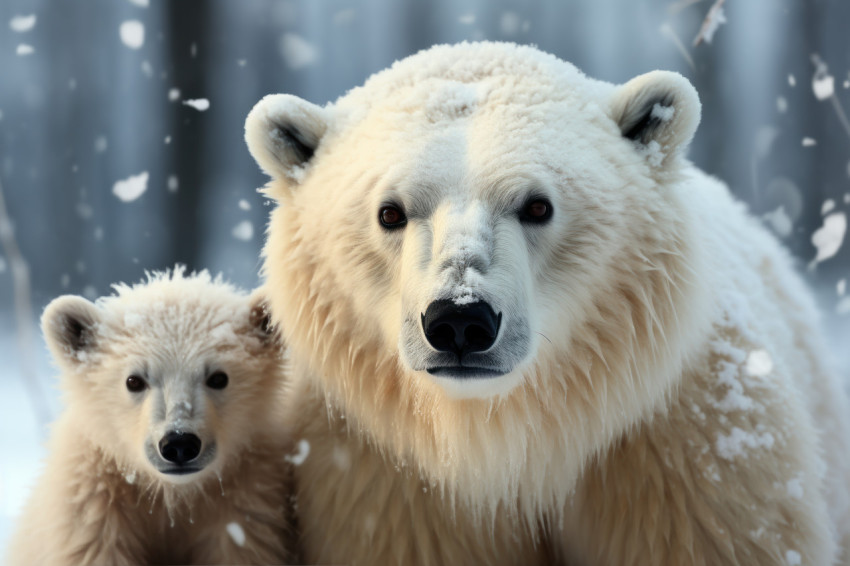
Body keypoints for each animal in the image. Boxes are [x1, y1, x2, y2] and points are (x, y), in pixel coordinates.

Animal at [6, 270, 296, 566]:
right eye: (134, 380)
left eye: (218, 377)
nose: (179, 444)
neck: (172, 496)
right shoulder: (94, 510)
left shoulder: (242, 507)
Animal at [243, 42, 848, 564]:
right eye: (389, 212)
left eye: (537, 205)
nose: (459, 320)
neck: (509, 439)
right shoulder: (389, 489)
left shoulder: (680, 455)